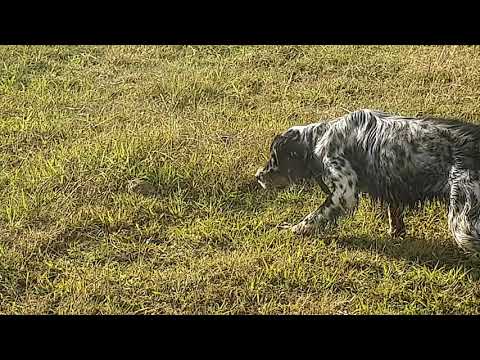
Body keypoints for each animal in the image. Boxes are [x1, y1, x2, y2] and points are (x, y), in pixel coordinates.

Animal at [255, 108, 480, 255]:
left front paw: (294, 229)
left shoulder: (343, 192)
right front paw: (396, 233)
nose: (258, 176)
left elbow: (314, 216)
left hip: (463, 224)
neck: (320, 138)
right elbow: (394, 212)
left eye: (274, 159)